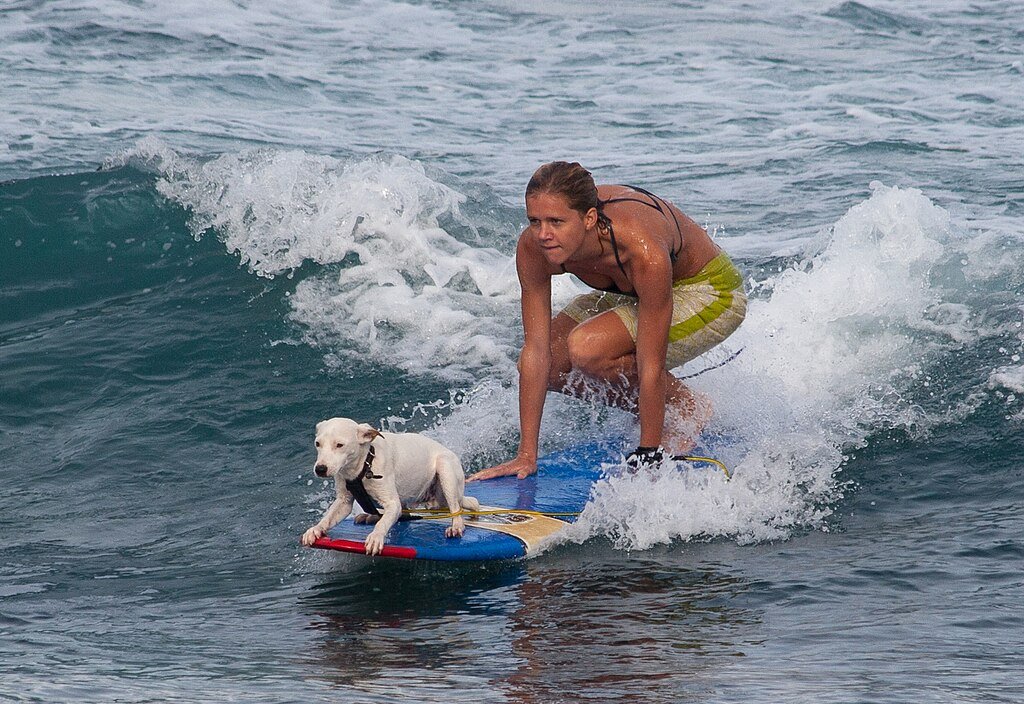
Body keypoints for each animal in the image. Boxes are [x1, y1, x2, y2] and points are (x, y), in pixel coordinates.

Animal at [299, 417, 479, 556]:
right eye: (317, 444)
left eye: (339, 445)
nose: (320, 469)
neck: (364, 465)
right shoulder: (344, 502)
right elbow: (328, 518)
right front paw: (315, 529)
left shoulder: (393, 503)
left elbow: (383, 523)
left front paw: (375, 538)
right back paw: (370, 516)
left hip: (445, 470)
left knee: (457, 507)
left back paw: (456, 526)